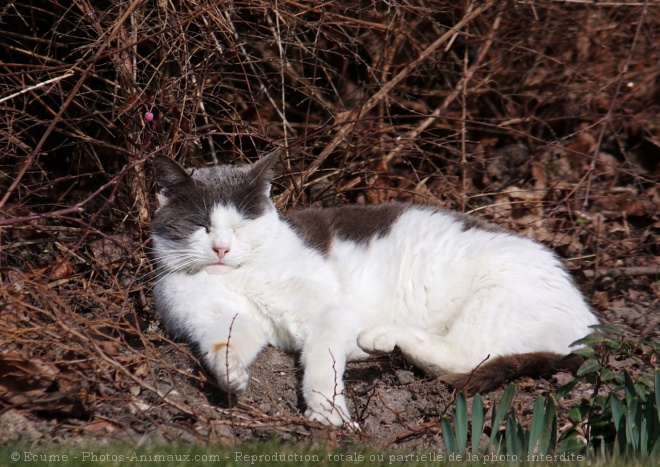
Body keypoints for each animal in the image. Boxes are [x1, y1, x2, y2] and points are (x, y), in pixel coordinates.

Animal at [151, 151, 600, 428]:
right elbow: (226, 344)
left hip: (494, 295)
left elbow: (322, 363)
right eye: (200, 225)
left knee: (465, 358)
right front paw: (231, 376)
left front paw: (327, 414)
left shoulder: (329, 314)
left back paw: (377, 339)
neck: (235, 277)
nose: (221, 248)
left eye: (240, 225)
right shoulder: (225, 319)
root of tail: (590, 323)